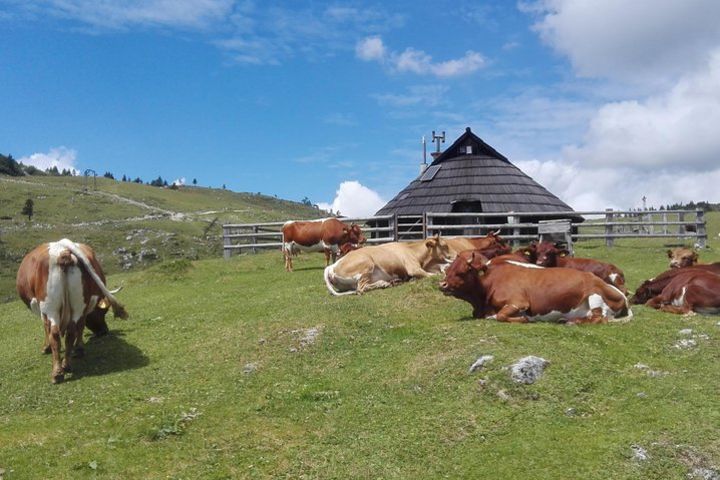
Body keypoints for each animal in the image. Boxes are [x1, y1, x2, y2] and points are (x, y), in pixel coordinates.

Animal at [15, 239, 128, 382]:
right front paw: (79, 348)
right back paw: (67, 364)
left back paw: (57, 373)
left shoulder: (42, 310)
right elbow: (80, 326)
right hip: (78, 304)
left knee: (55, 334)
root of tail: (63, 249)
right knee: (71, 332)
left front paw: (46, 348)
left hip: (50, 306)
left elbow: (46, 328)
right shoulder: (84, 308)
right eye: (103, 311)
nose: (104, 331)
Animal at [322, 234, 450, 294]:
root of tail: (332, 266)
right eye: (445, 246)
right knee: (360, 288)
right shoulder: (413, 268)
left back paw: (392, 282)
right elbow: (433, 275)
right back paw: (385, 283)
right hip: (367, 264)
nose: (453, 256)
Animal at [438, 249, 632, 324]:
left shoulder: (518, 302)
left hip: (594, 295)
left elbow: (500, 316)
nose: (442, 284)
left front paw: (524, 318)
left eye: (463, 271)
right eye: (449, 268)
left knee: (599, 318)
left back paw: (572, 322)